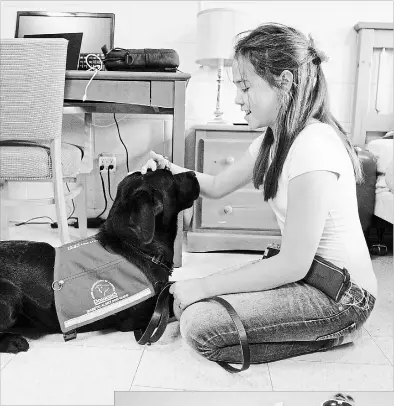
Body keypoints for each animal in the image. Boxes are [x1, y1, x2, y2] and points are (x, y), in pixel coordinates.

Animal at [0, 168, 199, 352]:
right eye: (170, 176)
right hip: (10, 293)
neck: (135, 247)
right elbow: (173, 304)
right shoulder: (139, 316)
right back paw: (13, 341)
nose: (194, 174)